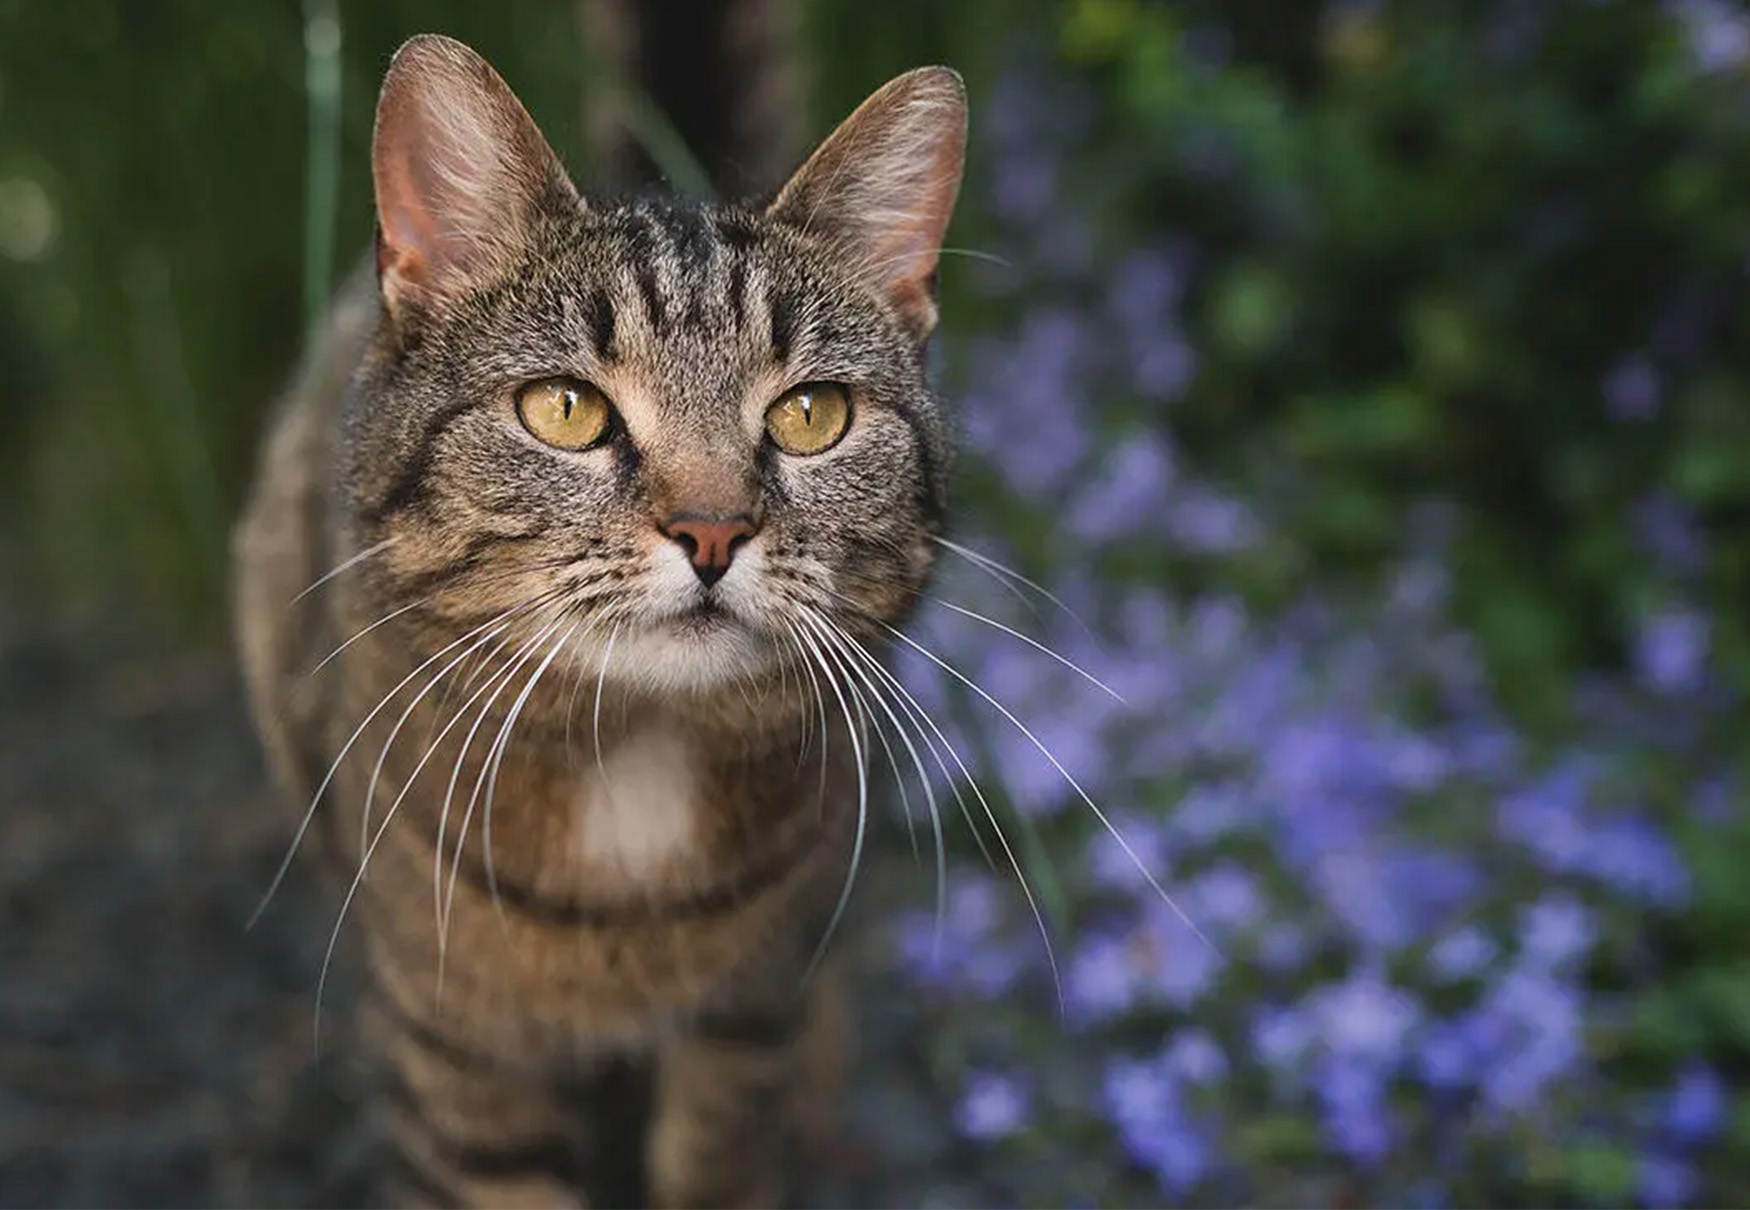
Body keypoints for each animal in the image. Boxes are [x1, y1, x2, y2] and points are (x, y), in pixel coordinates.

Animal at [231, 4, 966, 1204]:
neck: (635, 778)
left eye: (811, 415)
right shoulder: (456, 1056)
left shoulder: (747, 1021)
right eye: (565, 409)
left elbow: (719, 1161)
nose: (713, 531)